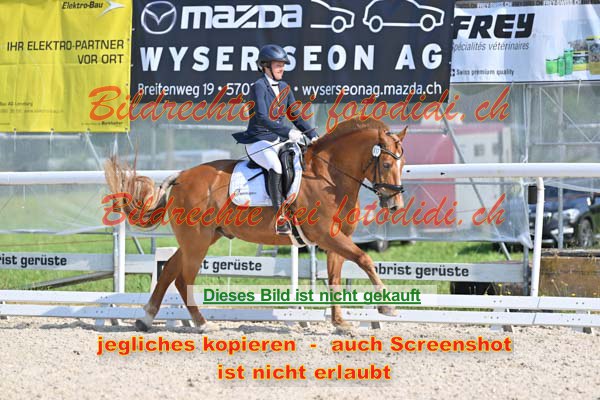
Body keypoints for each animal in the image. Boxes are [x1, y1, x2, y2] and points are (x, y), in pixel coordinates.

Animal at [104, 117, 407, 332]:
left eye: (402, 164)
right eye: (387, 163)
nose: (395, 204)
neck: (328, 175)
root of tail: (180, 176)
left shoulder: (336, 239)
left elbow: (335, 278)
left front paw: (341, 323)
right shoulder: (327, 235)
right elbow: (365, 259)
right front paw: (387, 306)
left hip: (201, 239)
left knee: (168, 272)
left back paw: (146, 319)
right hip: (196, 241)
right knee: (184, 277)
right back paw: (202, 324)